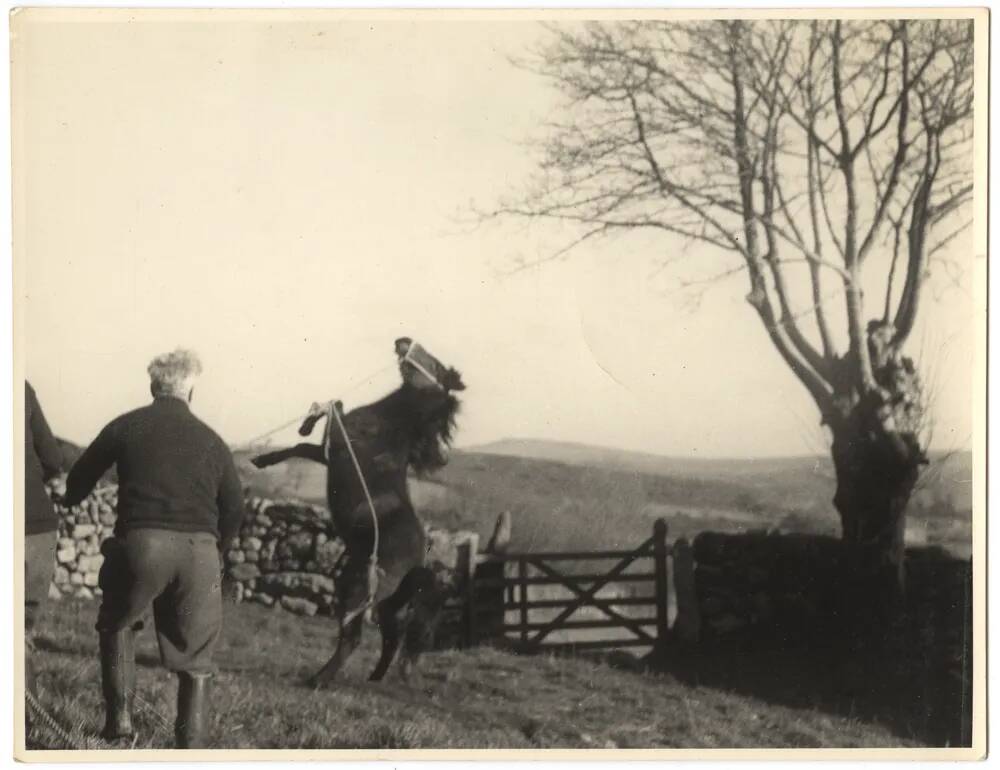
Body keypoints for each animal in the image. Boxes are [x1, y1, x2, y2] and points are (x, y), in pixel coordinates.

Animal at [254, 336, 464, 684]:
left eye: (433, 363)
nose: (403, 340)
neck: (391, 426)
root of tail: (419, 562)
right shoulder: (327, 454)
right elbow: (302, 443)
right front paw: (264, 458)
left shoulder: (337, 443)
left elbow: (331, 411)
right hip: (389, 604)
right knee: (393, 637)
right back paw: (374, 678)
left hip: (358, 589)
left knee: (353, 637)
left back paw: (319, 680)